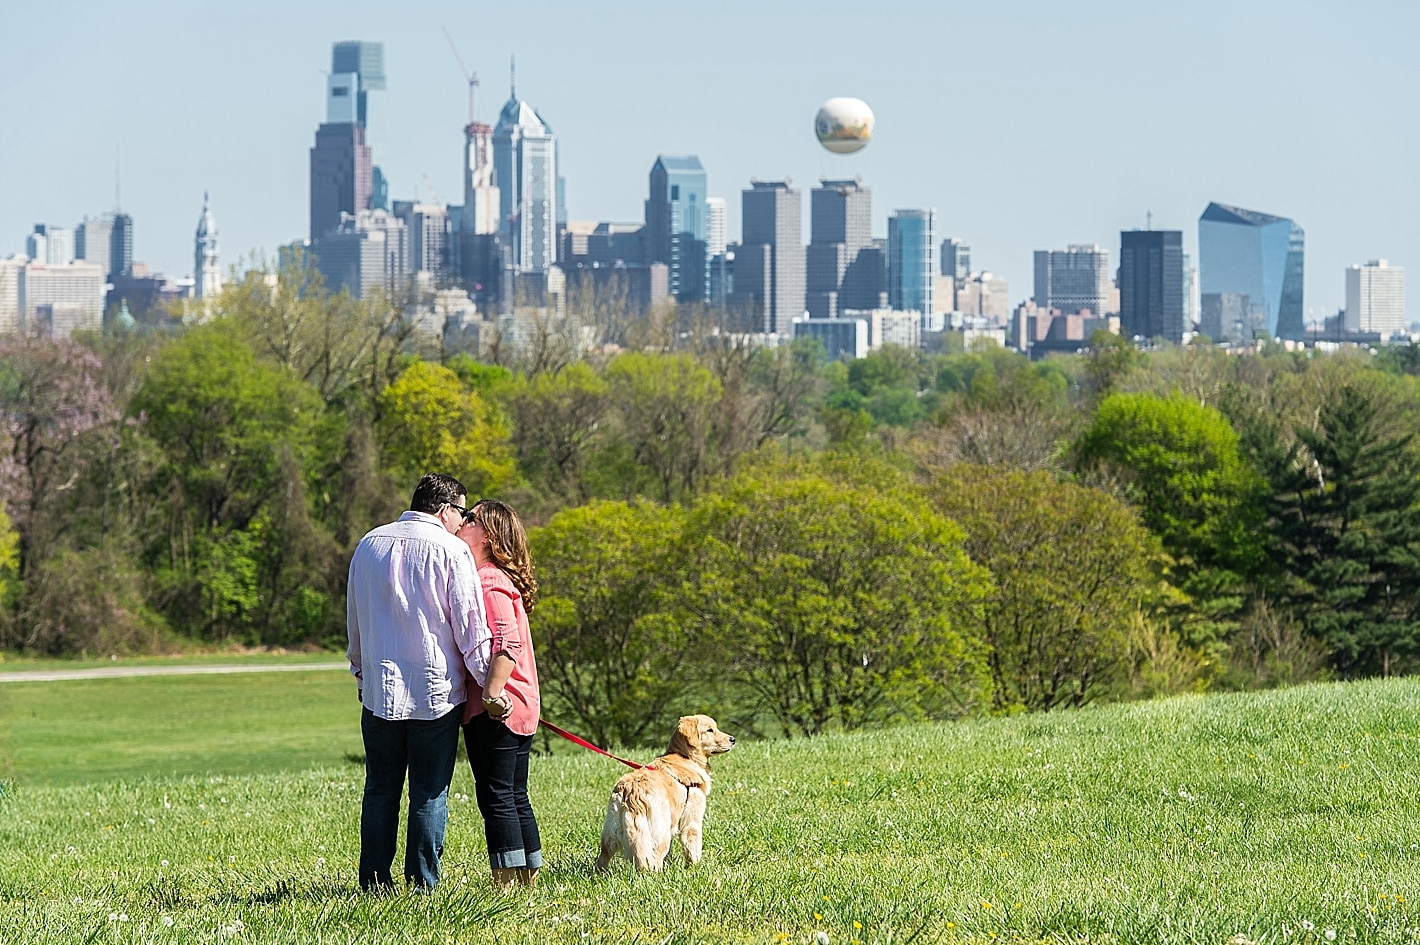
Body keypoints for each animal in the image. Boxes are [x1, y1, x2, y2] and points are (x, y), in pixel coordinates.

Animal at [593, 716, 738, 869]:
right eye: (710, 730)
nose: (733, 739)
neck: (685, 756)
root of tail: (631, 791)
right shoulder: (692, 820)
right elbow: (693, 848)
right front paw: (695, 868)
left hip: (611, 833)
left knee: (603, 858)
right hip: (660, 834)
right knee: (653, 861)